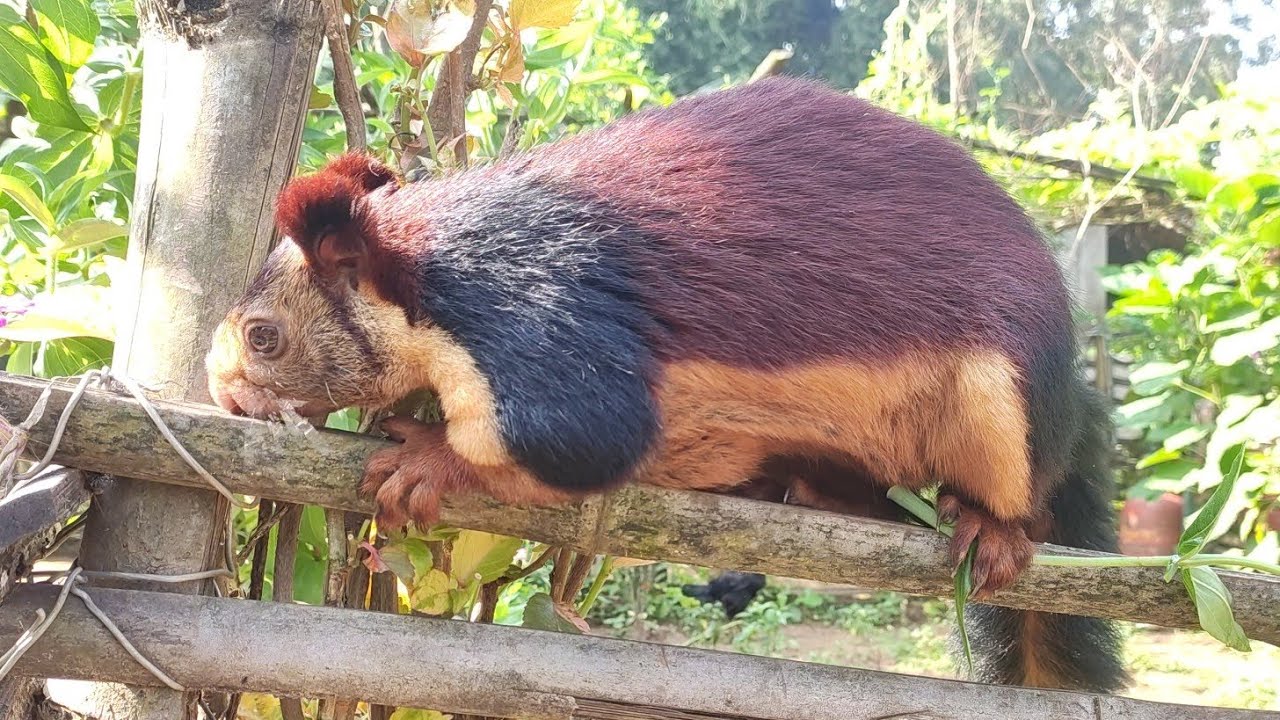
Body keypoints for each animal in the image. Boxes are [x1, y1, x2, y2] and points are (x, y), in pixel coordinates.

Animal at [205, 76, 1127, 693]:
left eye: (265, 335)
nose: (222, 390)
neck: (425, 268)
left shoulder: (537, 311)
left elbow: (583, 438)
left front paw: (428, 458)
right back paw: (806, 492)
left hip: (1004, 402)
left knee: (1021, 493)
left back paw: (994, 526)